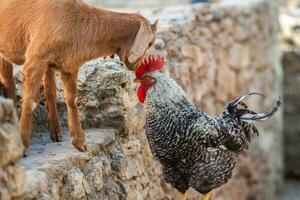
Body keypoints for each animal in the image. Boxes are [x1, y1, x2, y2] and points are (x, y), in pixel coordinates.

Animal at [0, 0, 158, 155]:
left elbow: (72, 100)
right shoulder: (35, 61)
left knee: (49, 89)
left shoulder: (69, 65)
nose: (137, 65)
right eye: (150, 43)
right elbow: (30, 101)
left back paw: (56, 132)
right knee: (9, 82)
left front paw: (79, 142)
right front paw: (23, 145)